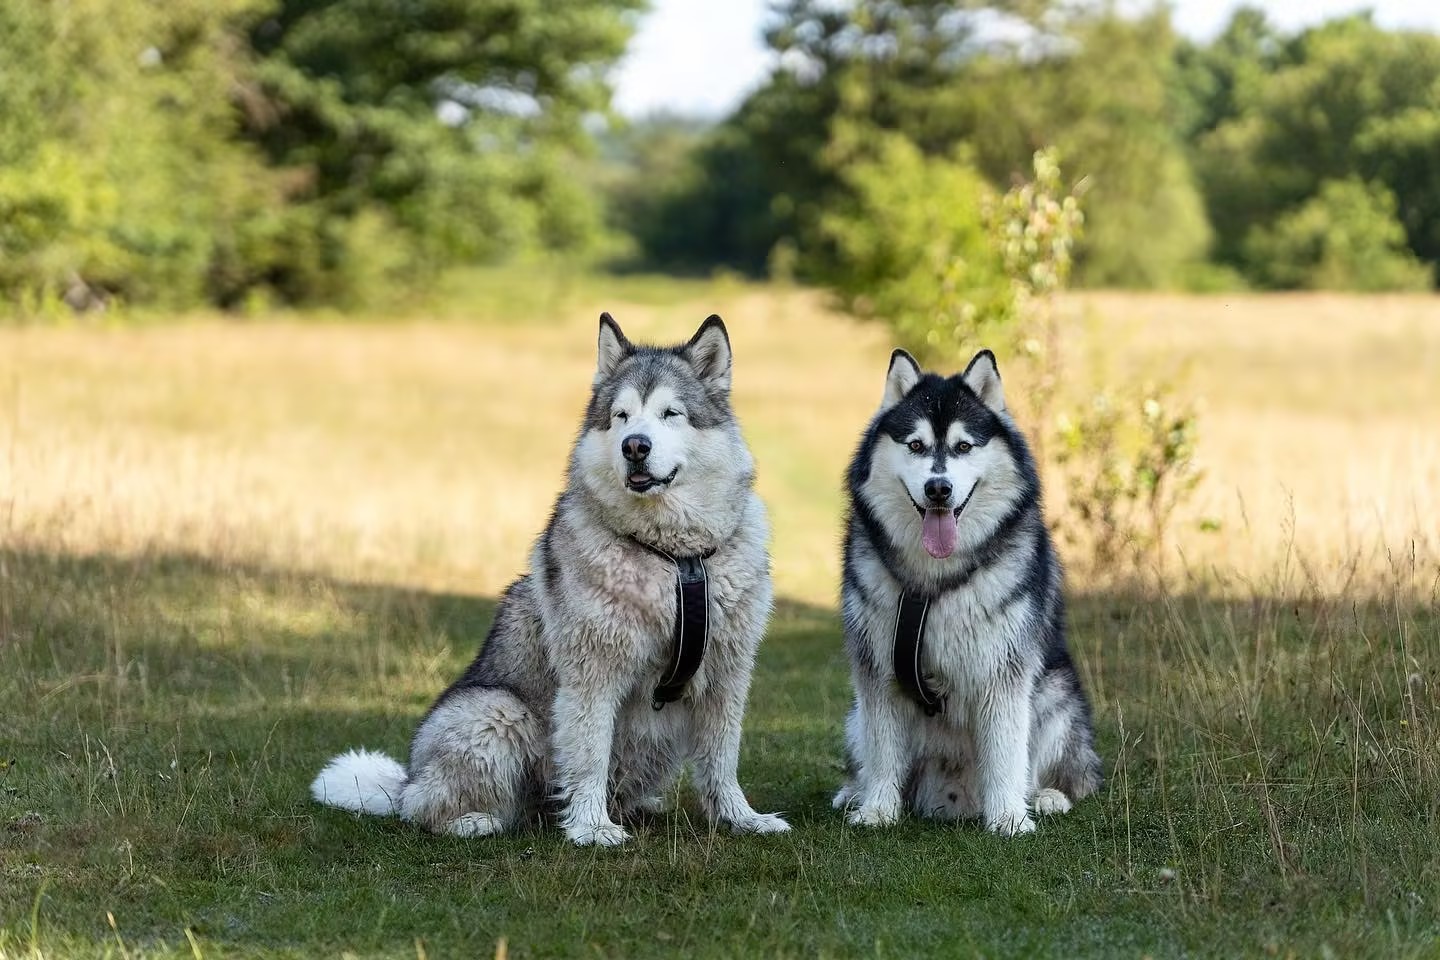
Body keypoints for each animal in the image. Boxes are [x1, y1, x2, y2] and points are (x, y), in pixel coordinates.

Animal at [309, 315, 794, 846]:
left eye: (671, 414)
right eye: (622, 416)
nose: (635, 446)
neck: (674, 556)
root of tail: (405, 781)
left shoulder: (728, 673)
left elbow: (722, 759)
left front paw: (740, 818)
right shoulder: (592, 673)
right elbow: (588, 755)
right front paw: (590, 827)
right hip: (495, 713)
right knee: (428, 808)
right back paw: (476, 820)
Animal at [835, 349, 1100, 834]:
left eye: (963, 447)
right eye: (915, 446)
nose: (938, 488)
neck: (933, 581)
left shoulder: (1004, 670)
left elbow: (1006, 751)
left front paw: (1010, 817)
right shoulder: (876, 668)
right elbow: (883, 751)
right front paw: (878, 809)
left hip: (1057, 695)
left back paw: (1046, 797)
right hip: (855, 715)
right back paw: (854, 793)